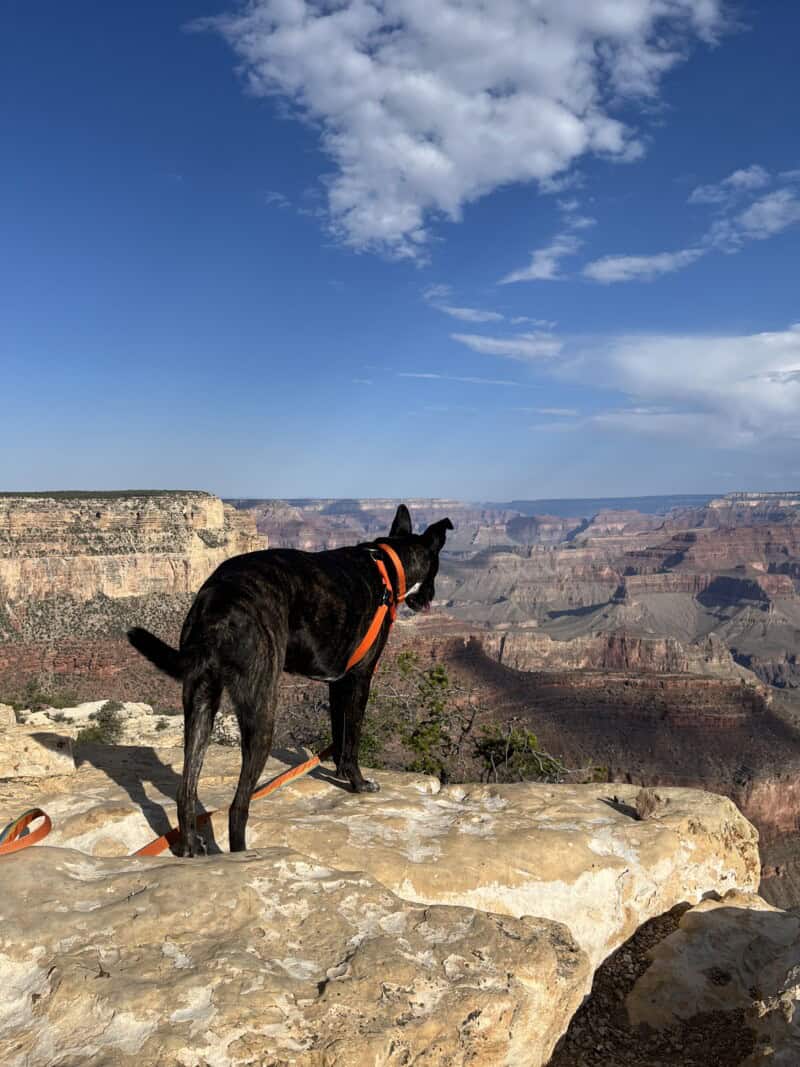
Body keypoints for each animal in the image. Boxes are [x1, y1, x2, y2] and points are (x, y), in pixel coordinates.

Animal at [125, 505, 452, 857]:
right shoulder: (360, 678)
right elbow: (351, 737)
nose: (431, 597)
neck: (388, 567)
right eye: (436, 569)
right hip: (261, 708)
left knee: (186, 790)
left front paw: (339, 773)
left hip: (200, 700)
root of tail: (218, 603)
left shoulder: (337, 683)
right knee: (238, 806)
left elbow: (338, 732)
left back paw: (191, 845)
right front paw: (358, 782)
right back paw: (243, 852)